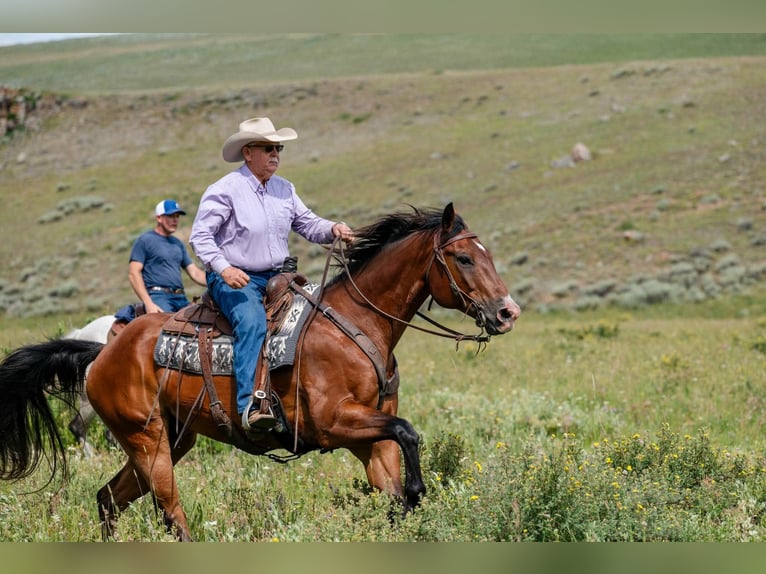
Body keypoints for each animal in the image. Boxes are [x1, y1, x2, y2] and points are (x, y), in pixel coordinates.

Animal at [0, 203, 520, 541]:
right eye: (464, 257)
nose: (507, 312)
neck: (356, 324)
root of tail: (103, 352)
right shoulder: (334, 422)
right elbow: (408, 432)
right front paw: (417, 490)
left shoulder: (368, 437)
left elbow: (393, 482)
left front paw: (408, 502)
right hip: (147, 441)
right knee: (169, 512)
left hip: (170, 438)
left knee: (108, 499)